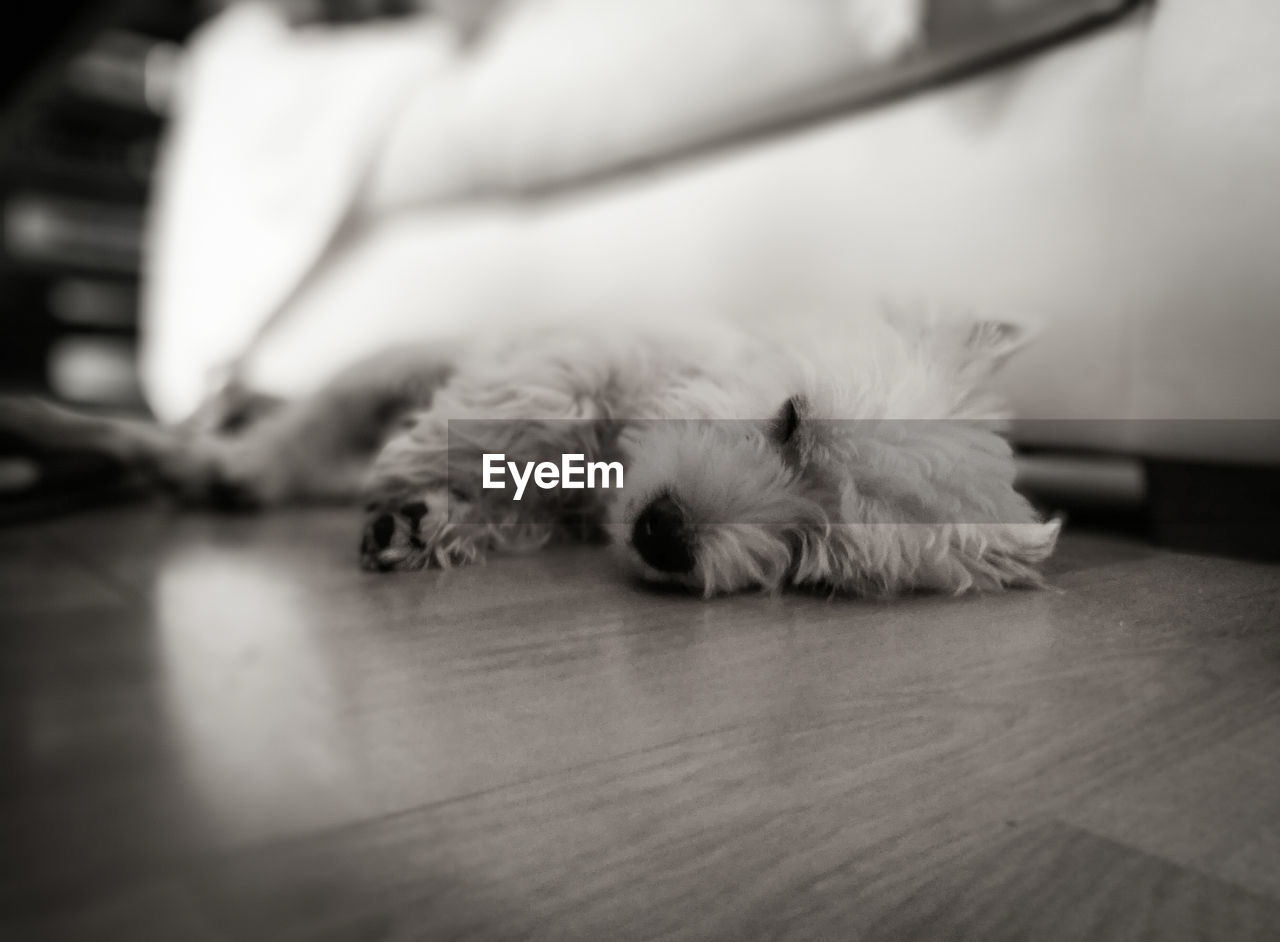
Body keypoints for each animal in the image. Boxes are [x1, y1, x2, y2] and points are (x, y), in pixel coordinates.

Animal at [0, 312, 1059, 598]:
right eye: (793, 420)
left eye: (816, 559)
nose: (666, 535)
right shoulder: (560, 350)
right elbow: (550, 395)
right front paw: (430, 473)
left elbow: (517, 508)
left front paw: (432, 523)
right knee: (268, 431)